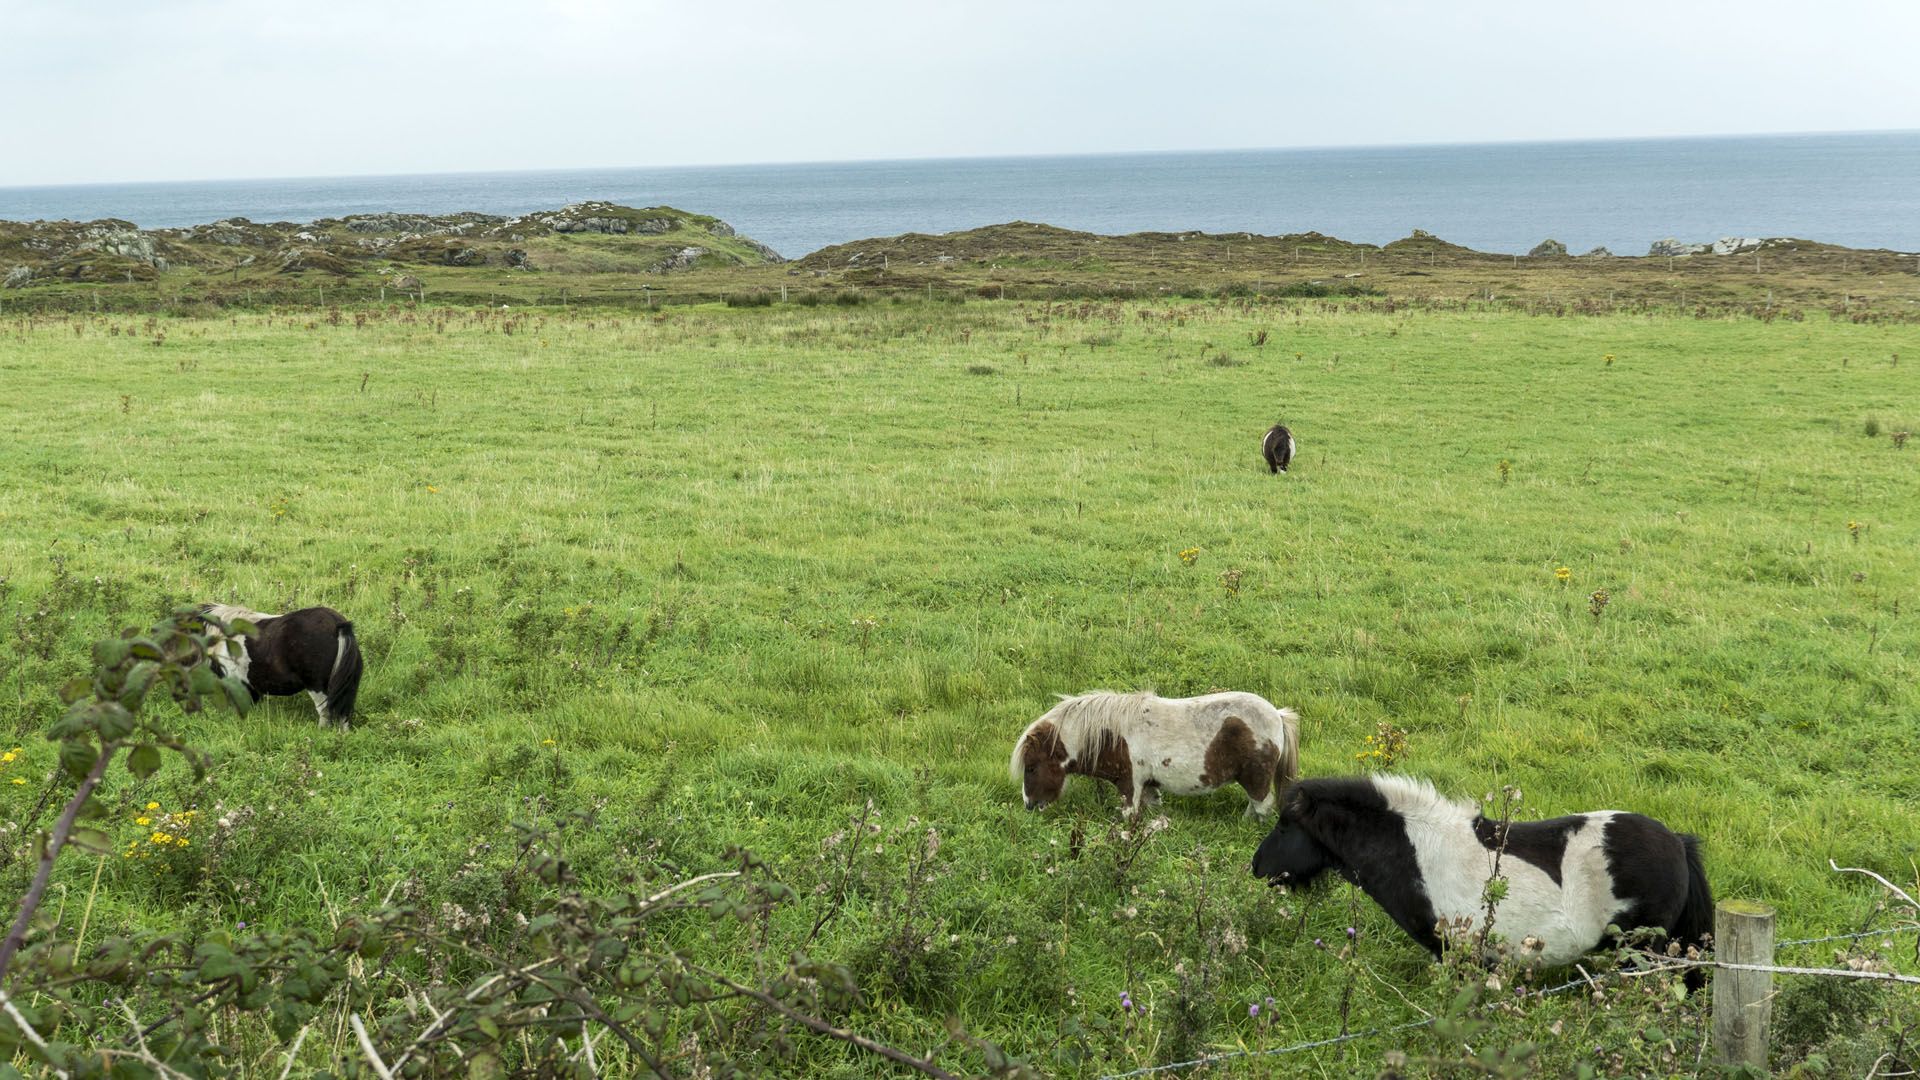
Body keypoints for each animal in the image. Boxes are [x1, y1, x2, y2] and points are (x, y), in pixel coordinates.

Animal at [1011, 691, 1301, 817]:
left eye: (1032, 767)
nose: (1029, 805)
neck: (1113, 736)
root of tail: (1277, 715)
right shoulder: (1149, 787)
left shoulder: (1130, 786)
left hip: (1256, 780)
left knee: (1262, 807)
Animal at [1250, 775, 1713, 985]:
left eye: (1285, 826)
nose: (1256, 868)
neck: (1418, 850)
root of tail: (1677, 841)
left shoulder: (1459, 957)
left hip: (1643, 953)